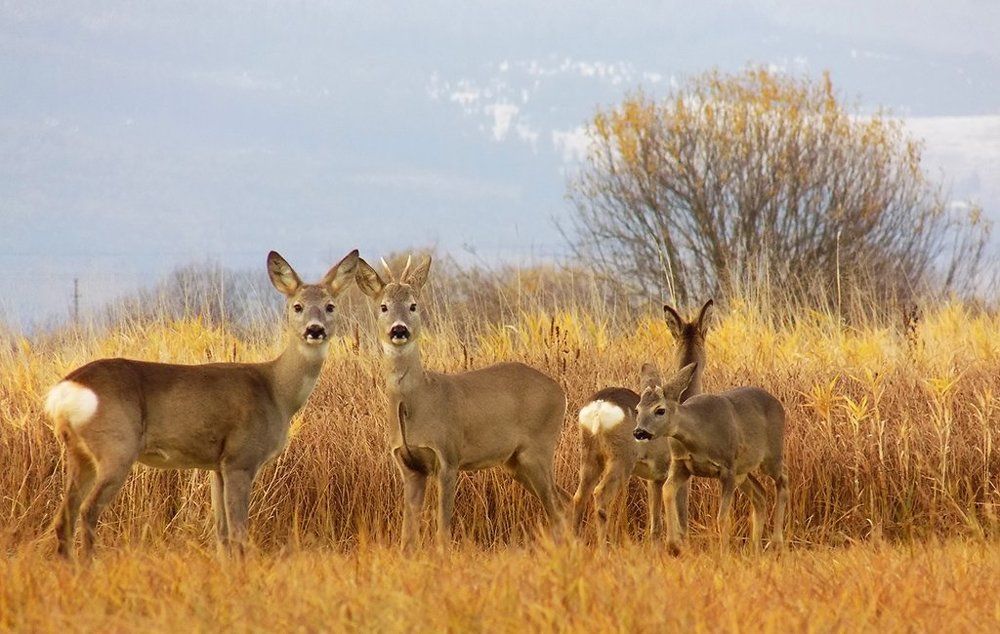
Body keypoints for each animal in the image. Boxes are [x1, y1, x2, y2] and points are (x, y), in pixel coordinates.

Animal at [44, 249, 359, 558]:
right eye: (297, 306)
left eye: (330, 306)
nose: (315, 330)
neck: (277, 392)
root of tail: (67, 389)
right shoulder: (240, 457)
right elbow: (239, 532)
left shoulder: (217, 465)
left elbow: (221, 533)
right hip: (116, 445)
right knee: (87, 511)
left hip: (79, 453)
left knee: (64, 517)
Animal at [355, 254, 569, 550]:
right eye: (383, 306)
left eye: (413, 305)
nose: (399, 329)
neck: (417, 400)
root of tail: (560, 392)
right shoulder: (408, 465)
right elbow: (407, 535)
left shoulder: (448, 454)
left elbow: (442, 526)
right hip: (516, 462)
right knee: (565, 500)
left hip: (538, 448)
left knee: (559, 506)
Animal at [572, 300, 713, 544]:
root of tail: (599, 407)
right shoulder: (681, 469)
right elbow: (681, 519)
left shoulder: (654, 477)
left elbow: (655, 525)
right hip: (621, 457)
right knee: (600, 494)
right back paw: (603, 546)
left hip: (589, 453)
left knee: (578, 496)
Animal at [632, 362, 788, 554]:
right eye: (637, 409)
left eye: (660, 410)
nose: (639, 432)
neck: (699, 437)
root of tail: (778, 404)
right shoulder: (681, 465)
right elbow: (668, 490)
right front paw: (673, 544)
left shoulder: (727, 467)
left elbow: (722, 517)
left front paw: (724, 552)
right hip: (743, 471)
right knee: (760, 494)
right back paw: (755, 548)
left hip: (771, 455)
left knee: (783, 480)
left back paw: (775, 542)